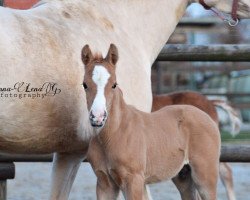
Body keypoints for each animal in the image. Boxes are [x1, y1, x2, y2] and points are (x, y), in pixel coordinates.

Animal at [84, 43, 221, 200]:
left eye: (114, 84)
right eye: (84, 85)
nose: (98, 117)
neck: (113, 134)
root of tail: (207, 116)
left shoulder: (134, 179)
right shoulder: (104, 183)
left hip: (205, 176)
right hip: (184, 176)